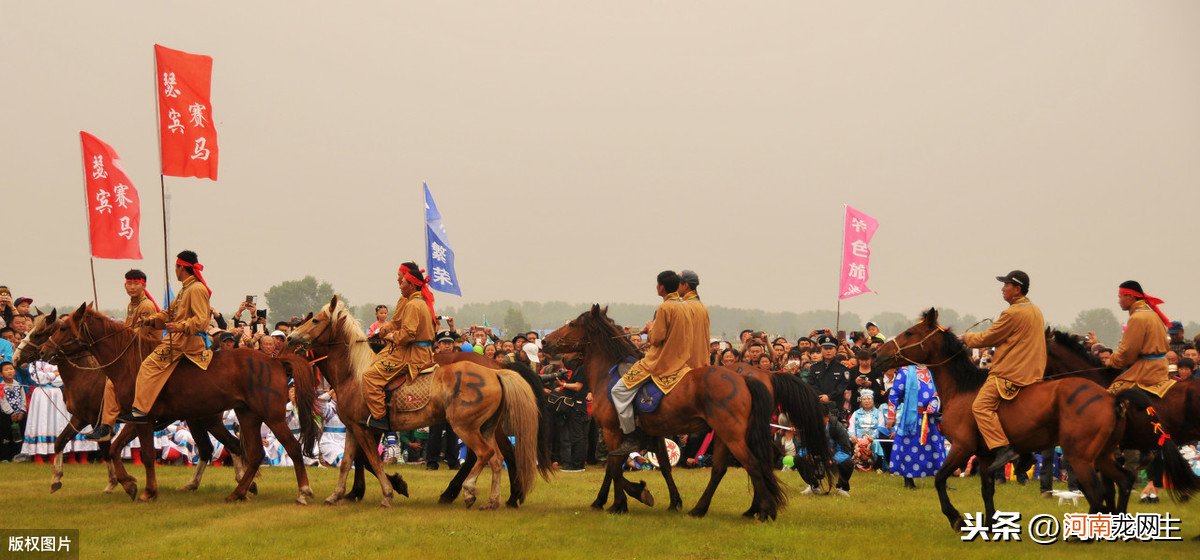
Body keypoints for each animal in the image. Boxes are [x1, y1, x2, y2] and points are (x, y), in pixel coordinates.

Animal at [16, 309, 247, 496]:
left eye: (39, 333)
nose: (18, 356)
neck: (85, 375)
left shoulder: (98, 420)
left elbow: (107, 449)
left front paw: (116, 483)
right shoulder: (81, 418)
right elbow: (61, 441)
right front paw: (56, 480)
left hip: (207, 420)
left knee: (231, 445)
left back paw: (241, 479)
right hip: (195, 420)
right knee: (209, 449)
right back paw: (199, 484)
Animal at [45, 304, 321, 506]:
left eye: (62, 327)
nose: (45, 350)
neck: (129, 362)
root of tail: (275, 361)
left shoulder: (143, 418)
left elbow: (145, 455)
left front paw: (147, 491)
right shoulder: (134, 419)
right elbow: (113, 449)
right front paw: (130, 484)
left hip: (270, 417)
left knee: (292, 448)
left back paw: (303, 491)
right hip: (246, 416)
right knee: (253, 454)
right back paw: (238, 492)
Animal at [544, 304, 825, 520]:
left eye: (573, 324)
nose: (546, 341)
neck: (609, 373)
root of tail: (746, 377)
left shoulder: (613, 431)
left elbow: (614, 469)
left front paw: (628, 499)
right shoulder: (654, 434)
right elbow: (660, 466)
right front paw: (670, 501)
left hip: (732, 434)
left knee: (753, 464)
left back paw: (764, 511)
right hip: (726, 435)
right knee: (722, 469)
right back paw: (704, 509)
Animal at [873, 306, 1132, 530]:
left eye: (910, 333)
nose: (876, 354)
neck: (962, 388)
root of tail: (1110, 399)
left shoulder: (961, 448)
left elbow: (939, 479)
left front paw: (956, 518)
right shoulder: (985, 456)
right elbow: (987, 491)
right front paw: (989, 525)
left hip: (1080, 457)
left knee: (1097, 494)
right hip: (1102, 456)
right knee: (1123, 481)